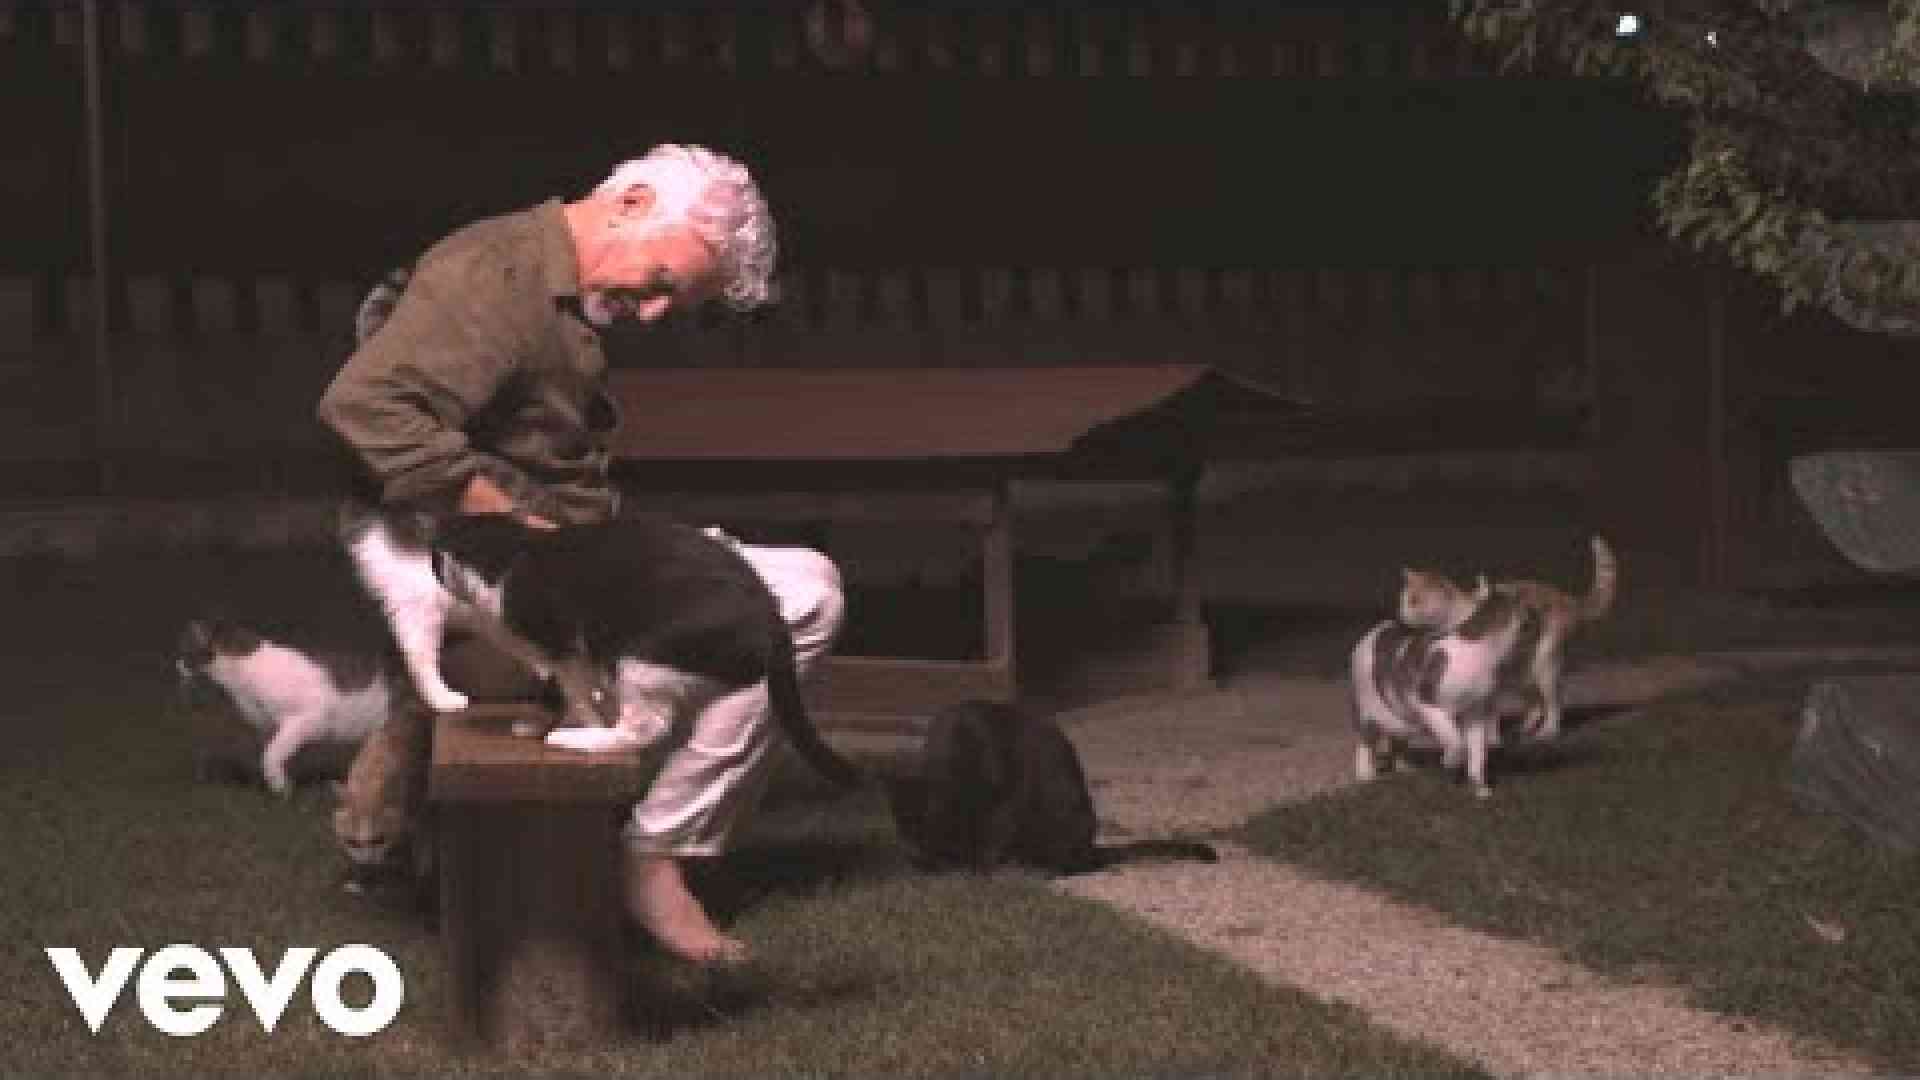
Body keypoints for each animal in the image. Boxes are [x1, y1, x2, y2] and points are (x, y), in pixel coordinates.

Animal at [175, 618, 407, 796]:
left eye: (184, 652)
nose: (176, 665)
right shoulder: (272, 728)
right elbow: (273, 754)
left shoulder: (306, 719)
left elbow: (270, 755)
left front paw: (280, 788)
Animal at [425, 512, 864, 788]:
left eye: (434, 562)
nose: (432, 564)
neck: (508, 553)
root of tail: (771, 613)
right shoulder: (574, 656)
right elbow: (575, 693)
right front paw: (542, 723)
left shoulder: (564, 647)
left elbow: (576, 694)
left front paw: (580, 724)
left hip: (641, 655)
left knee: (647, 726)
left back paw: (581, 741)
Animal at [886, 699, 1218, 874]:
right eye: (911, 833)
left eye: (942, 836)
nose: (929, 860)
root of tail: (1091, 846)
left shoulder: (1007, 801)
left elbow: (996, 834)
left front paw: (980, 865)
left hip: (1066, 810)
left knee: (1070, 864)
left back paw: (1031, 866)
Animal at [1350, 579, 1545, 799]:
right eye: (1533, 617)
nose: (1540, 621)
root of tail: (1378, 629)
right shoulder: (1428, 705)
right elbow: (1457, 741)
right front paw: (1450, 761)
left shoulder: (1475, 713)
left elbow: (1478, 755)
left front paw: (1480, 788)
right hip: (1368, 711)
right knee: (1364, 740)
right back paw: (1366, 774)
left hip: (1402, 720)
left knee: (1398, 740)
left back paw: (1404, 768)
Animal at [1397, 535, 1618, 741]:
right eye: (1404, 601)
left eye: (1415, 601)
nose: (1402, 615)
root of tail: (1566, 598)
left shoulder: (1490, 685)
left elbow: (1489, 717)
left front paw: (1491, 739)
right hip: (1521, 672)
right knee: (1535, 703)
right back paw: (1525, 728)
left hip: (1544, 665)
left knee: (1554, 703)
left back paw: (1548, 731)